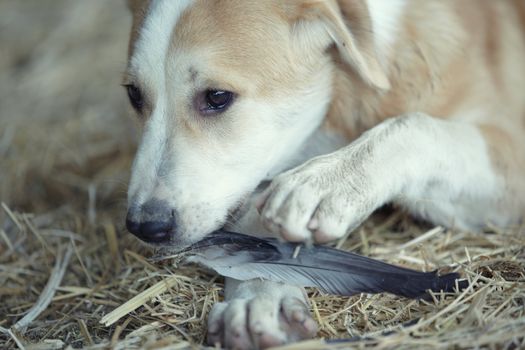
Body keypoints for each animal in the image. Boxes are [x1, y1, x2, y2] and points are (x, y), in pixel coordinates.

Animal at [122, 1, 524, 348]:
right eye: (133, 95)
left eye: (217, 97)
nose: (144, 227)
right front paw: (258, 294)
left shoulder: (510, 155)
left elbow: (414, 125)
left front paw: (327, 183)